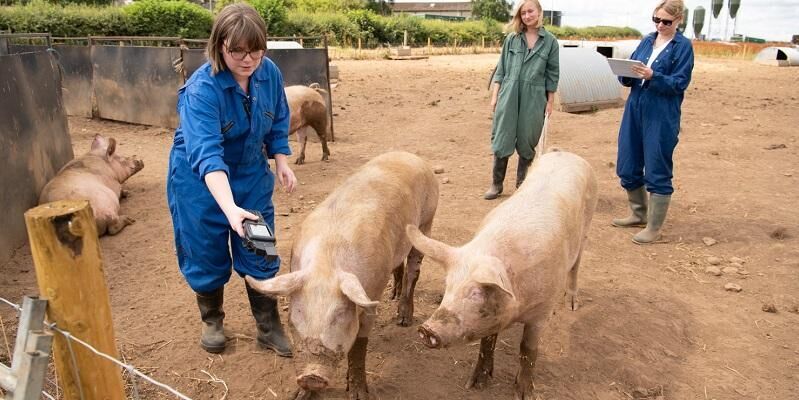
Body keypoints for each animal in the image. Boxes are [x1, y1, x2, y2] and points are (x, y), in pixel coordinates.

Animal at [410, 151, 596, 400]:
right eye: (447, 286)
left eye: (477, 293)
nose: (426, 329)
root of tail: (566, 153)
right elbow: (486, 343)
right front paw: (474, 385)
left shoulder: (542, 311)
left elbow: (528, 349)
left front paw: (524, 394)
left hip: (586, 228)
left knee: (576, 265)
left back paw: (572, 305)